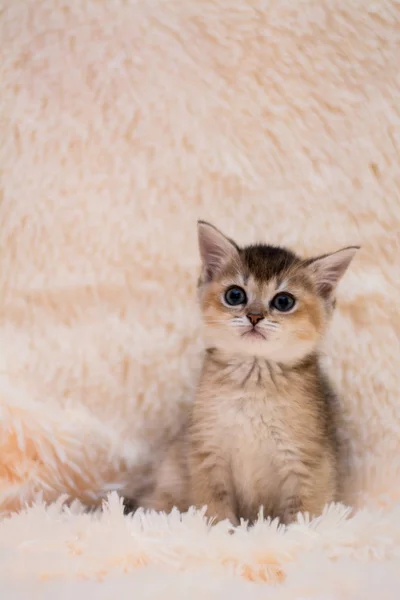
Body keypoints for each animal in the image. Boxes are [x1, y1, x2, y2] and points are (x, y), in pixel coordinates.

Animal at [138, 223, 360, 528]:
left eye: (283, 301)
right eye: (235, 295)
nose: (254, 316)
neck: (254, 384)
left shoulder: (308, 463)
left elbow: (303, 514)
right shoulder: (208, 454)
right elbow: (216, 509)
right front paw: (224, 533)